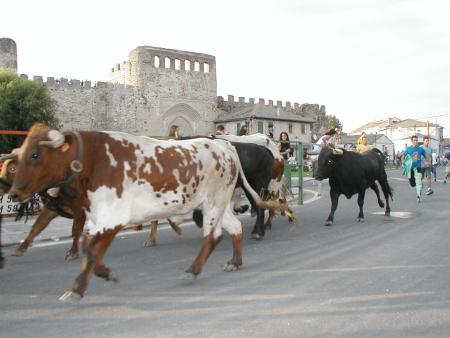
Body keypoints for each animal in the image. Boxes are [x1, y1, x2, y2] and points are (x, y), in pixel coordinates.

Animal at [9, 125, 284, 302]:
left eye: (35, 154)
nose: (13, 193)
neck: (94, 159)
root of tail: (223, 146)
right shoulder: (94, 218)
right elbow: (88, 248)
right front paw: (93, 277)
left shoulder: (112, 218)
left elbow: (91, 250)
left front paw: (80, 286)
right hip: (217, 203)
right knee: (233, 227)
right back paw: (234, 261)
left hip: (221, 200)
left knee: (219, 232)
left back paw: (196, 268)